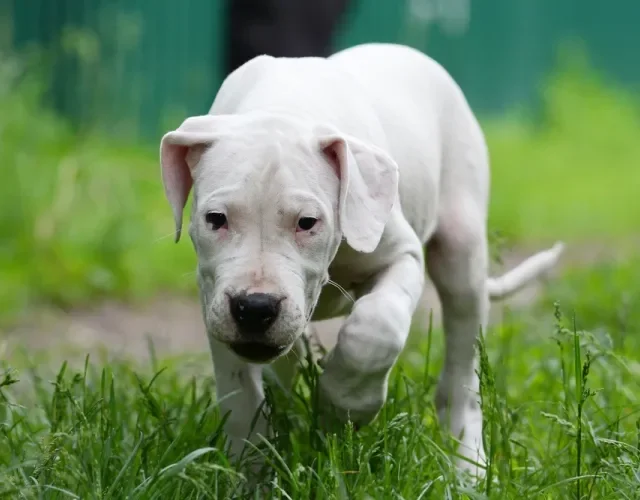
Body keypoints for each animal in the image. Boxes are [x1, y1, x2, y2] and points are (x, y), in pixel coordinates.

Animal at [159, 42, 560, 472]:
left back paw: (467, 466)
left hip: (462, 252)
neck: (285, 105)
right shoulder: (213, 294)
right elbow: (240, 395)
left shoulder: (403, 257)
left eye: (307, 222)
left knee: (461, 371)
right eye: (215, 219)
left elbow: (375, 327)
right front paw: (250, 470)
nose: (255, 308)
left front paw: (344, 406)